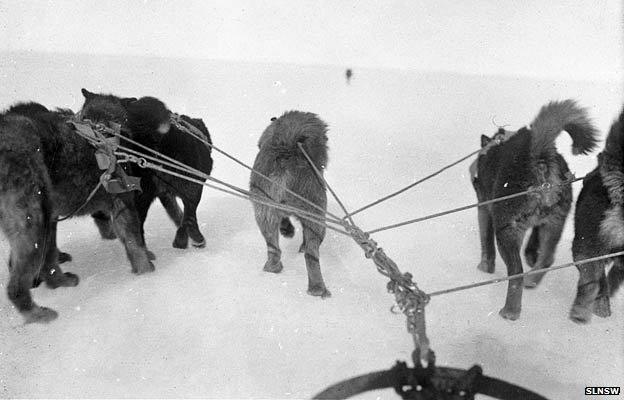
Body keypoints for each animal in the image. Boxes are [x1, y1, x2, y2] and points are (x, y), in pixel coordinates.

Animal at [0, 101, 156, 324]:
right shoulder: (121, 202)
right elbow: (134, 243)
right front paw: (147, 272)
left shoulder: (53, 217)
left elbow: (49, 258)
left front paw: (57, 281)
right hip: (33, 223)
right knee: (16, 286)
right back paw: (37, 314)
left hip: (41, 218)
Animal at [80, 90, 213, 252]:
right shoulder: (189, 190)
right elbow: (186, 216)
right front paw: (190, 239)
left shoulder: (166, 196)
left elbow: (178, 215)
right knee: (188, 215)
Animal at [249, 111, 332, 298]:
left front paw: (286, 229)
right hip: (316, 214)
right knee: (310, 254)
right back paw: (317, 288)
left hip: (264, 211)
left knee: (273, 248)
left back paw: (273, 267)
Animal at [470, 101, 596, 322]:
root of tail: (540, 160)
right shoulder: (541, 224)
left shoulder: (483, 206)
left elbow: (485, 244)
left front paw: (485, 267)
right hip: (555, 223)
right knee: (547, 258)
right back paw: (533, 279)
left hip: (507, 232)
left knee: (516, 274)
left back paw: (510, 311)